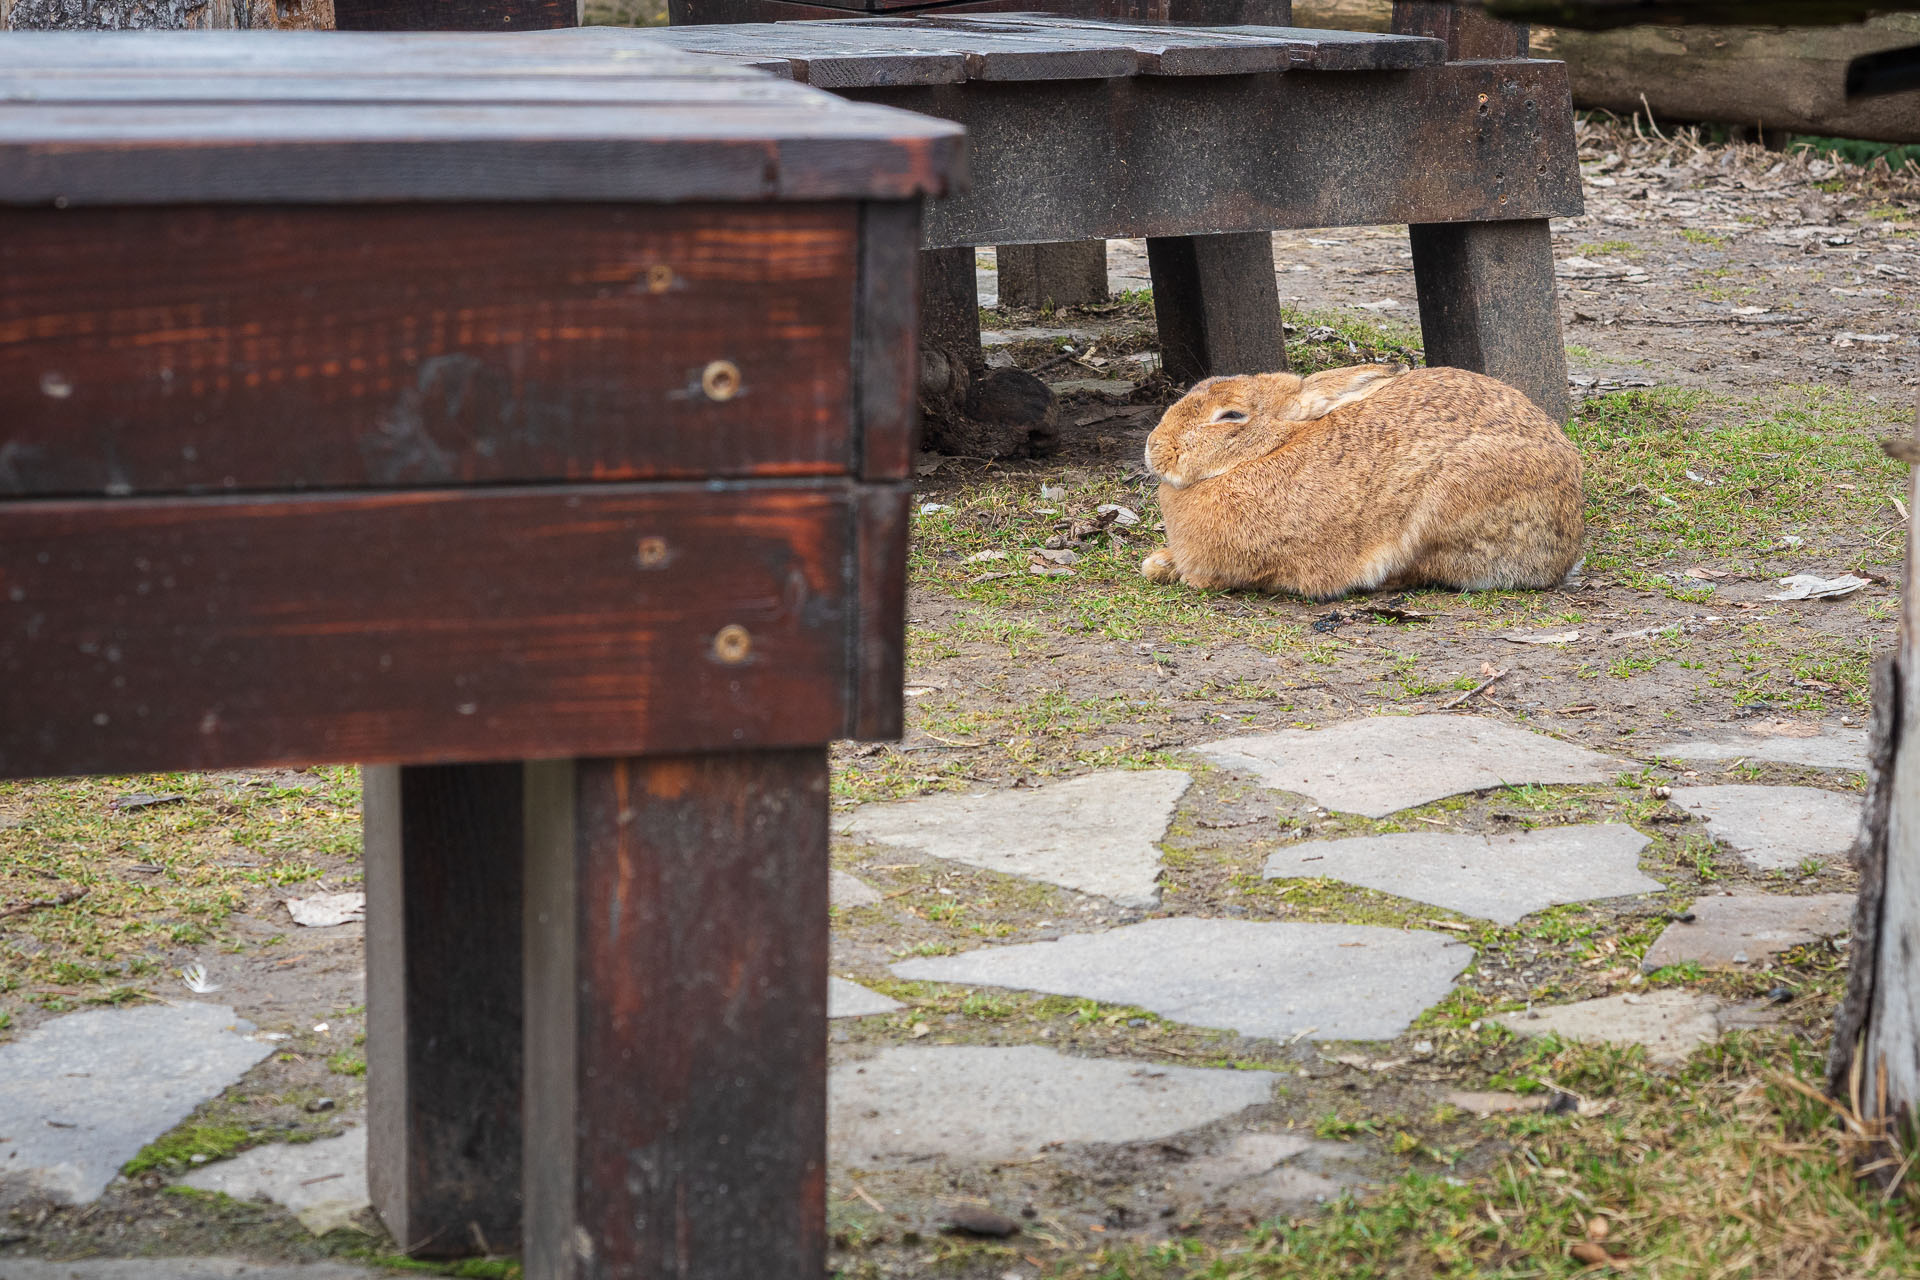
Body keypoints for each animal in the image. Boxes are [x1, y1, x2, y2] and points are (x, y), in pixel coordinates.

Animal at [1136, 362, 1589, 598]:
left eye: (1231, 416)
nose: (1154, 448)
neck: (1268, 449)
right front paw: (1157, 563)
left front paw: (1186, 576)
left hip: (1450, 506)